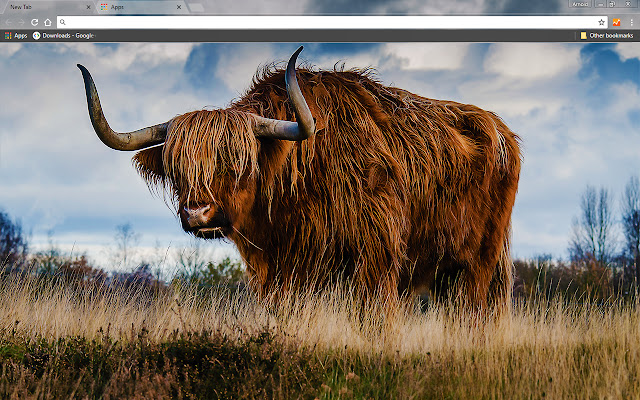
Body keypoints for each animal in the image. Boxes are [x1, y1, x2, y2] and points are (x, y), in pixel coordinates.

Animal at [78, 46, 521, 311]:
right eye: (177, 168)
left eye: (239, 161)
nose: (197, 213)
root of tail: (501, 130)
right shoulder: (277, 273)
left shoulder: (376, 260)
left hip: (479, 264)